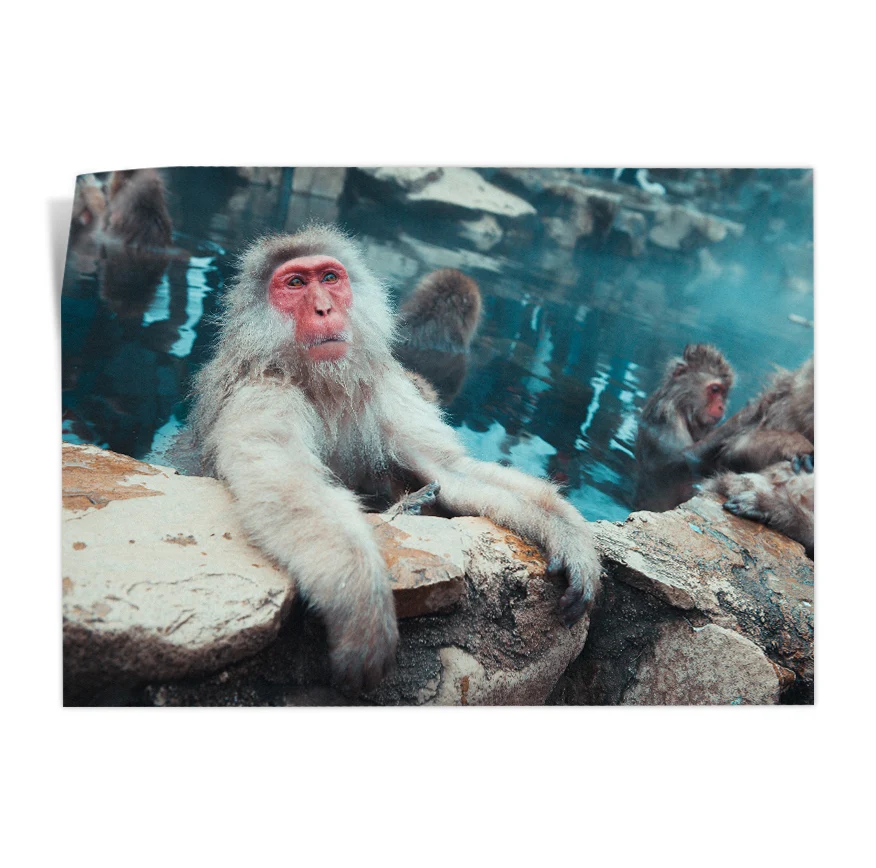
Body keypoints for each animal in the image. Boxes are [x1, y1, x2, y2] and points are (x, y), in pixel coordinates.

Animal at [634, 344, 734, 512]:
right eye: (715, 390)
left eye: (724, 392)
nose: (722, 407)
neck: (683, 405)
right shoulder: (668, 418)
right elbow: (678, 460)